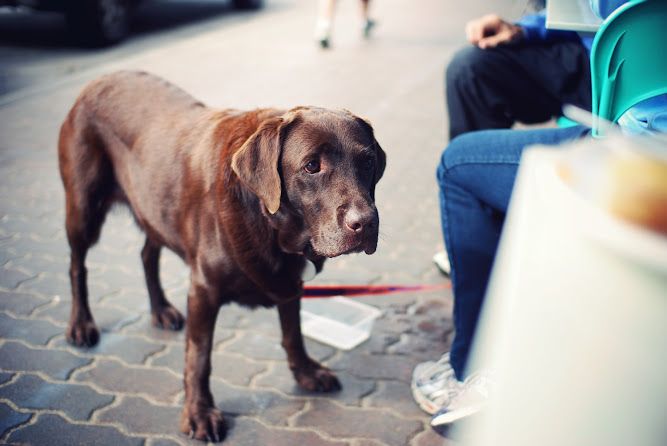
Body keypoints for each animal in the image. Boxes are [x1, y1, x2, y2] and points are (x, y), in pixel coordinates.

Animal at [60, 71, 388, 440]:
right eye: (312, 166)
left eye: (368, 161)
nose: (366, 223)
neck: (271, 223)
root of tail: (100, 78)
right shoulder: (203, 290)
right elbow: (199, 358)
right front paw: (199, 413)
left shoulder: (290, 282)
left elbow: (293, 333)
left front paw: (305, 372)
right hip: (83, 210)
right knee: (77, 266)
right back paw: (81, 324)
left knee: (147, 254)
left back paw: (161, 310)